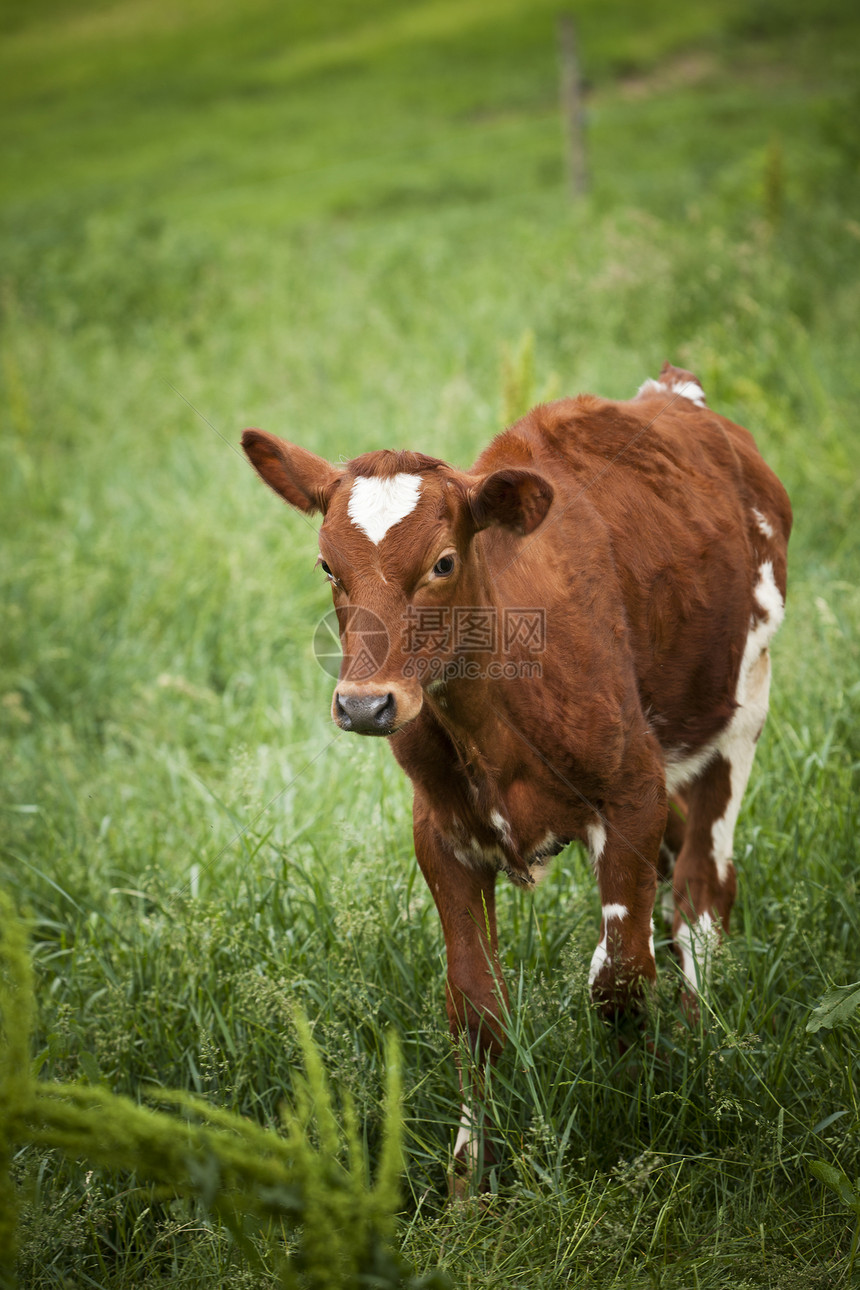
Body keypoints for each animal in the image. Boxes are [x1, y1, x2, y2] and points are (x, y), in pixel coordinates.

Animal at [242, 363, 794, 1171]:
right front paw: (470, 1176)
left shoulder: (631, 791)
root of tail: (673, 393)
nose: (366, 705)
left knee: (701, 894)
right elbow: (478, 1010)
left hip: (738, 710)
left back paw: (699, 1048)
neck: (492, 719)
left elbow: (618, 973)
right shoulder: (442, 834)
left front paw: (639, 1101)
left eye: (442, 562)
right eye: (327, 566)